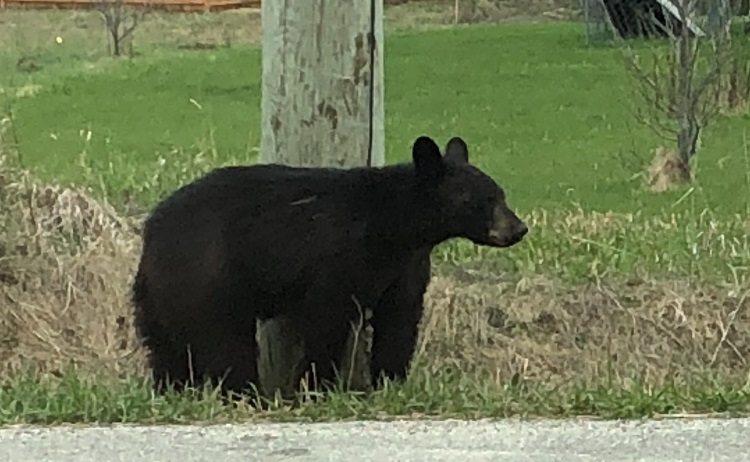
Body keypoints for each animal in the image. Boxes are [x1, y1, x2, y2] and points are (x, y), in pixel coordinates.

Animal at [131, 134, 528, 398]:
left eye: (501, 194)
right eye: (483, 200)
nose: (518, 229)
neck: (394, 225)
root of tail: (152, 230)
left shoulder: (406, 265)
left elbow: (400, 319)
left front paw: (391, 382)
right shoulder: (341, 257)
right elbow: (328, 319)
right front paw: (315, 386)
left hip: (160, 293)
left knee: (165, 345)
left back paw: (171, 388)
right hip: (209, 276)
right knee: (224, 341)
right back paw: (245, 393)